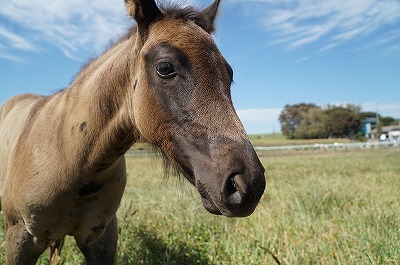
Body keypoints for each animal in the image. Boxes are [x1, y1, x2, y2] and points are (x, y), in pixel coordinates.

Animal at [0, 0, 268, 262]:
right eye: (165, 67)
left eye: (228, 74)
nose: (248, 184)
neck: (68, 155)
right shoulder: (20, 238)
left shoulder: (101, 238)